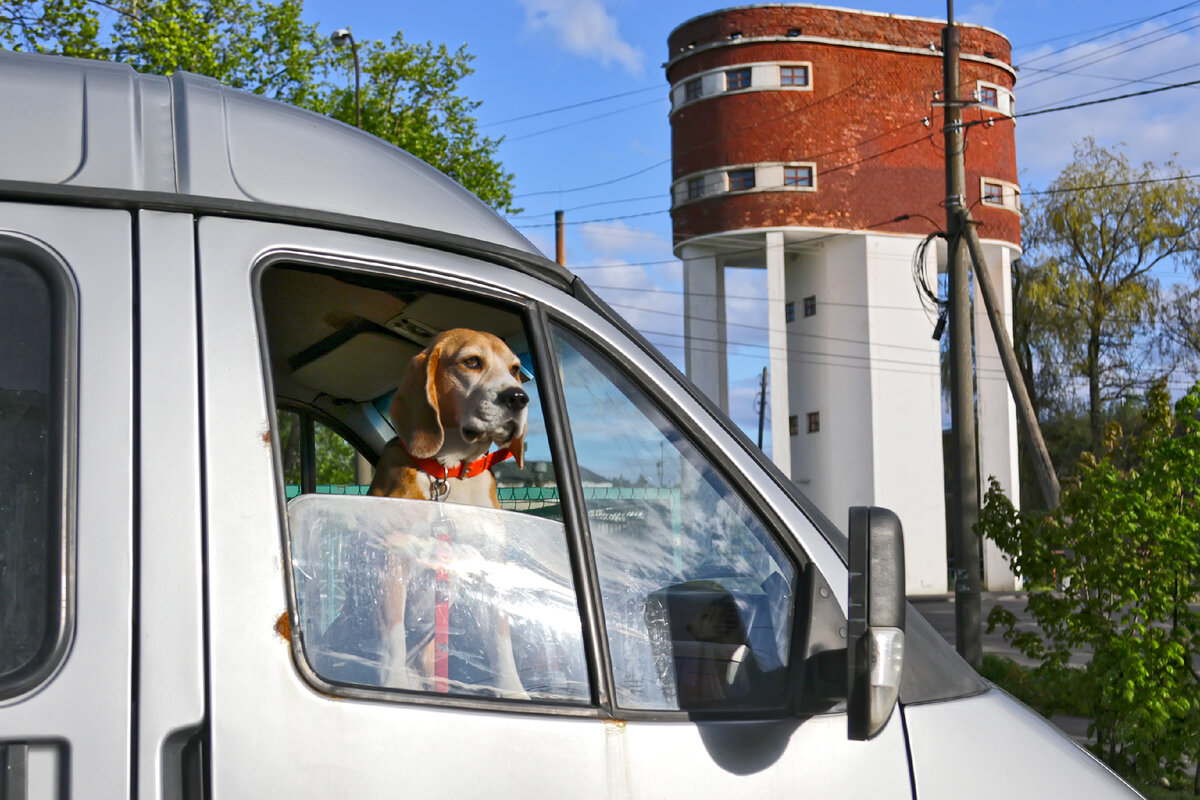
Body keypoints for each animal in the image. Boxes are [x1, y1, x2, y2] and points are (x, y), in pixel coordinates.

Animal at [364, 328, 530, 695]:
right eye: (472, 362)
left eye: (514, 369)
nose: (518, 397)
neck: (448, 472)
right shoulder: (392, 560)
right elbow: (392, 637)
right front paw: (392, 683)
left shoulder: (489, 568)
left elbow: (502, 643)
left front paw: (513, 691)